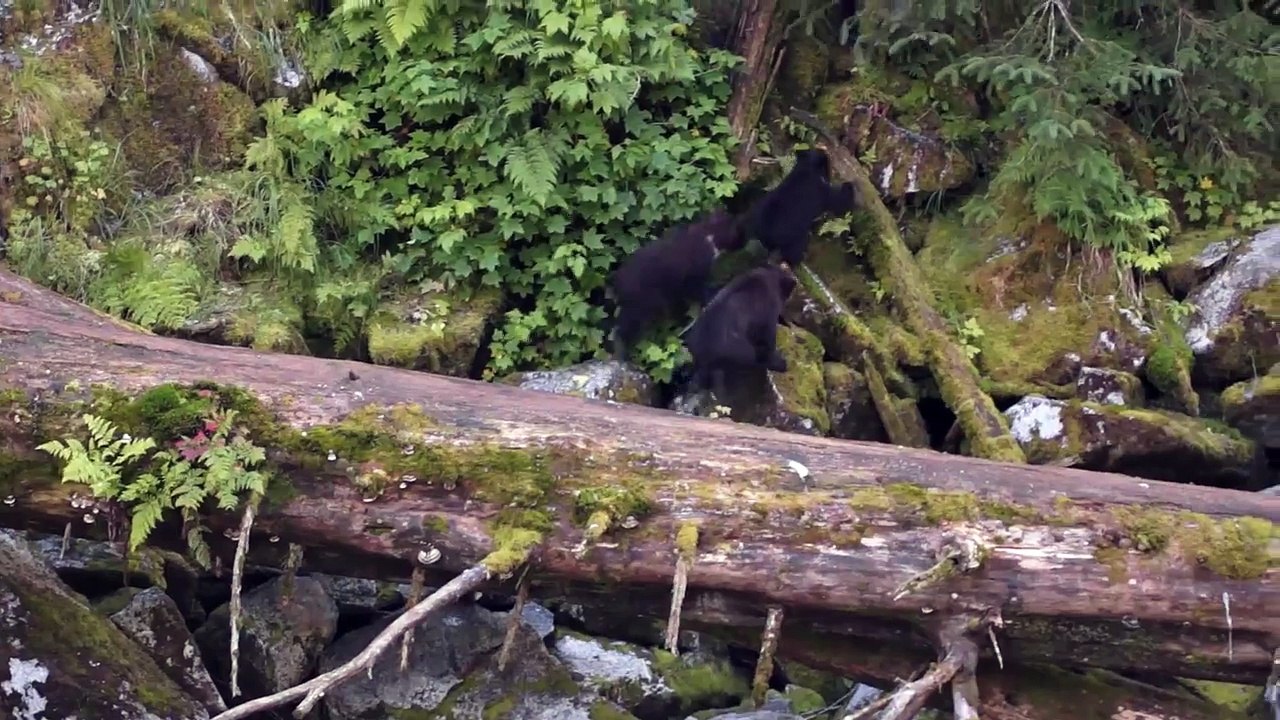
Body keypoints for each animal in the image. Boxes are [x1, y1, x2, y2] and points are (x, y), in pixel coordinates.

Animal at [610, 208, 748, 361]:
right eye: (739, 232)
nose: (745, 241)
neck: (707, 234)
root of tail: (617, 282)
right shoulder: (693, 276)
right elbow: (700, 291)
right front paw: (711, 294)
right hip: (642, 306)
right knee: (622, 331)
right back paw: (623, 355)